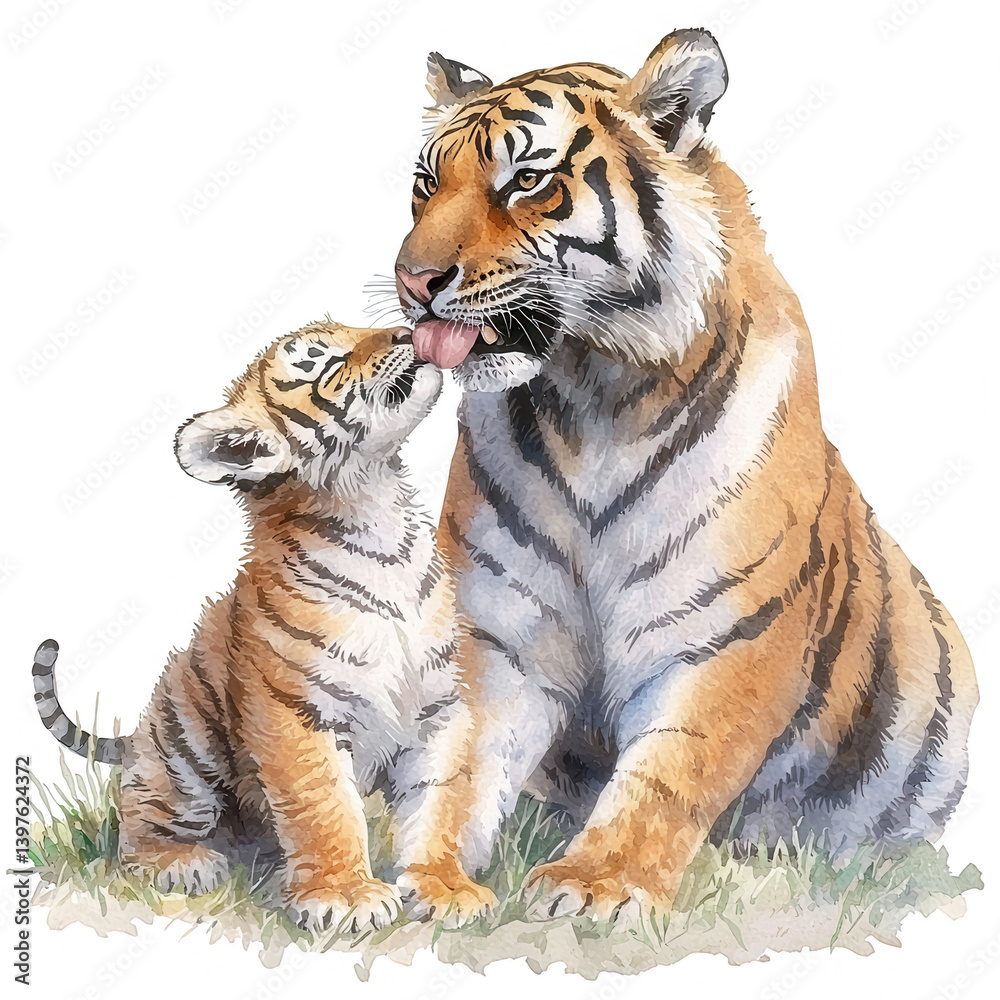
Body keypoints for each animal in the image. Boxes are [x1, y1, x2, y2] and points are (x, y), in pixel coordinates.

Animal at [33, 321, 462, 931]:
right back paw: (182, 863)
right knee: (137, 829)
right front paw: (345, 896)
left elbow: (442, 799)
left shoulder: (438, 708)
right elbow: (324, 802)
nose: (409, 328)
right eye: (318, 362)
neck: (381, 519)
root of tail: (140, 731)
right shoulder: (295, 710)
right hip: (184, 756)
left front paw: (445, 887)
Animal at [387, 29, 979, 922]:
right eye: (426, 184)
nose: (414, 282)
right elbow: (459, 761)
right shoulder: (498, 631)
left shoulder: (726, 634)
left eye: (525, 180)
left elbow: (669, 773)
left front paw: (596, 886)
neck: (591, 396)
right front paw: (438, 882)